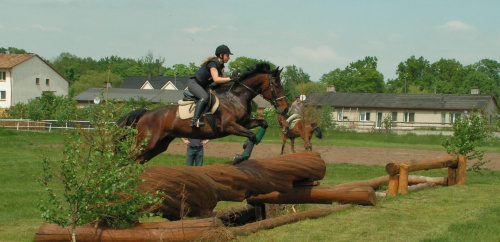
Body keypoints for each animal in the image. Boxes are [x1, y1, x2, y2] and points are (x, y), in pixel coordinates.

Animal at [118, 63, 290, 164]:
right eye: (276, 85)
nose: (286, 108)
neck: (237, 96)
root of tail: (146, 113)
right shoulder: (229, 126)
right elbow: (252, 135)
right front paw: (240, 157)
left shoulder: (244, 122)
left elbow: (262, 124)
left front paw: (246, 145)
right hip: (148, 143)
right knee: (130, 158)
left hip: (159, 145)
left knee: (137, 160)